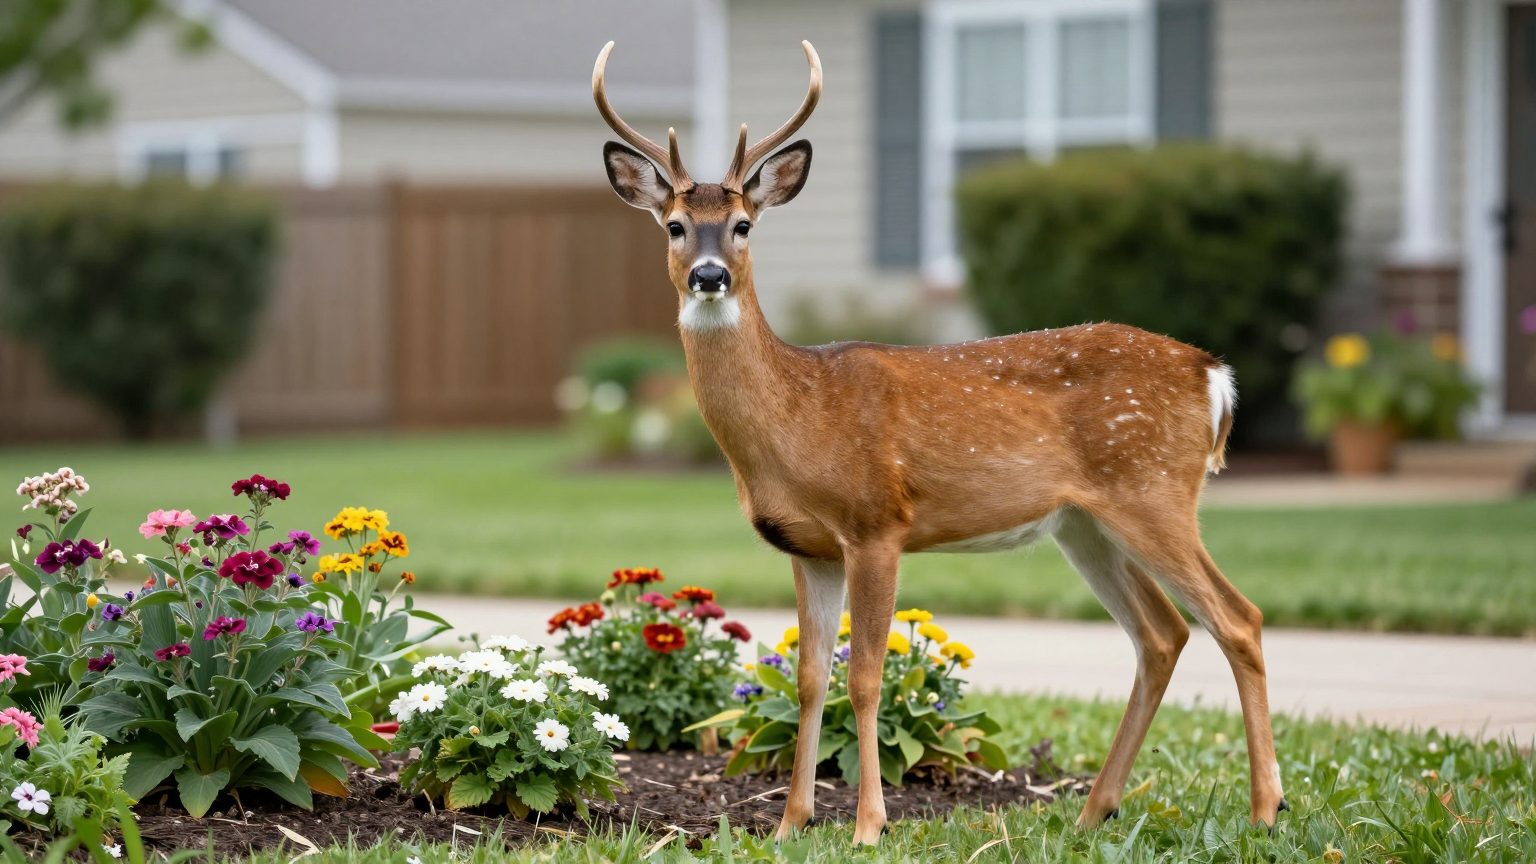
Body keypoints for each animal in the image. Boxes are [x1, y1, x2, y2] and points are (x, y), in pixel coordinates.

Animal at [593, 40, 1285, 846]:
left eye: (742, 225)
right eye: (674, 225)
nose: (709, 275)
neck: (799, 416)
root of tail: (1213, 375)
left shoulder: (876, 523)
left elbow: (864, 678)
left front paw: (868, 825)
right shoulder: (808, 547)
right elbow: (809, 678)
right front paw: (792, 824)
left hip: (1154, 490)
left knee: (1237, 618)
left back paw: (1265, 809)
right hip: (1086, 522)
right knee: (1163, 632)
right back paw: (1094, 810)